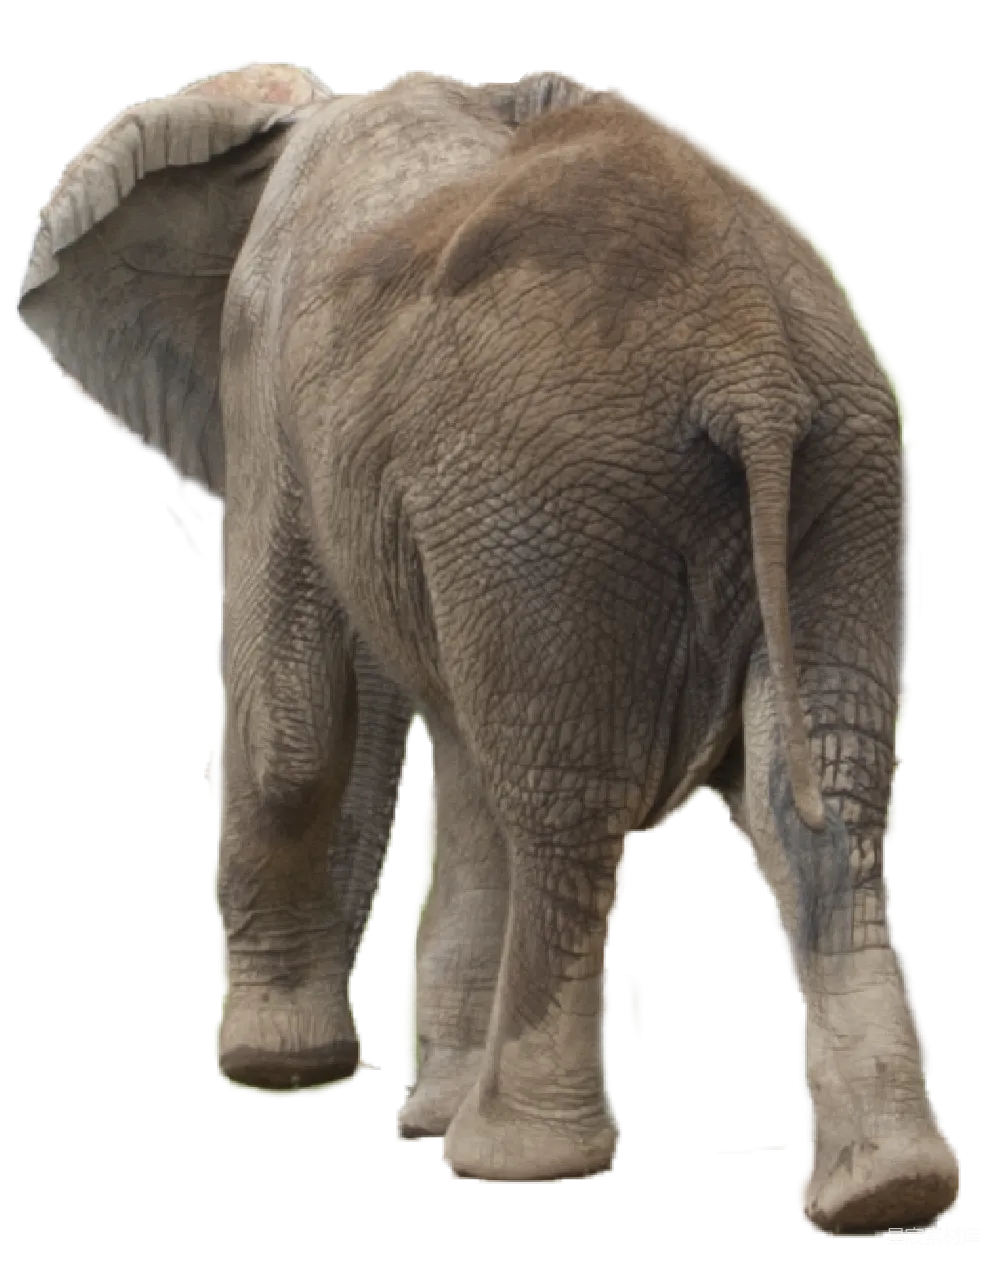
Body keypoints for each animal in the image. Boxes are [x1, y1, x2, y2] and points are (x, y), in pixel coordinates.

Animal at [19, 64, 954, 1227]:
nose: (318, 1064)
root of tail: (752, 361)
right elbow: (452, 755)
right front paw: (413, 1111)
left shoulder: (267, 360)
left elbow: (291, 730)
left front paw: (278, 1069)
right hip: (834, 485)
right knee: (820, 789)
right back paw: (887, 1189)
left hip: (556, 502)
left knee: (563, 801)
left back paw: (513, 1158)